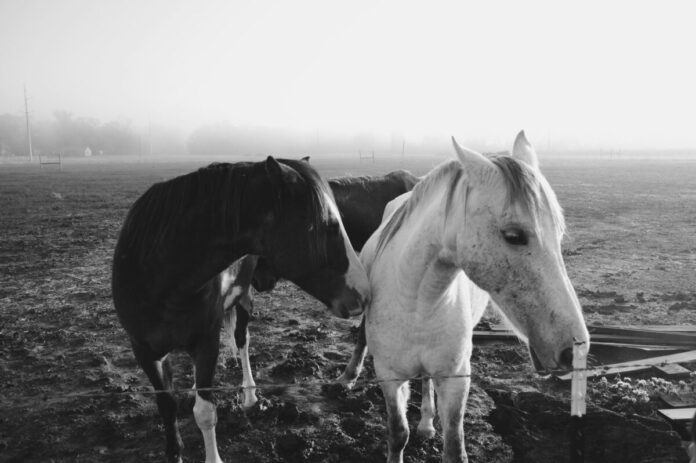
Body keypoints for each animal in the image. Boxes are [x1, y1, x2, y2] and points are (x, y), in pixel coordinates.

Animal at [112, 157, 371, 463]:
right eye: (327, 225)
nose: (365, 292)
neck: (160, 276)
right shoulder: (144, 350)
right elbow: (167, 407)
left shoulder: (207, 341)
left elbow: (205, 412)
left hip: (243, 299)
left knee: (241, 341)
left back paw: (249, 395)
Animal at [358, 131, 589, 463]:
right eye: (514, 235)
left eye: (559, 234)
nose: (575, 348)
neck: (417, 302)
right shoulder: (388, 376)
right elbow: (397, 433)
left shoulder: (456, 378)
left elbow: (454, 446)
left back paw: (427, 424)